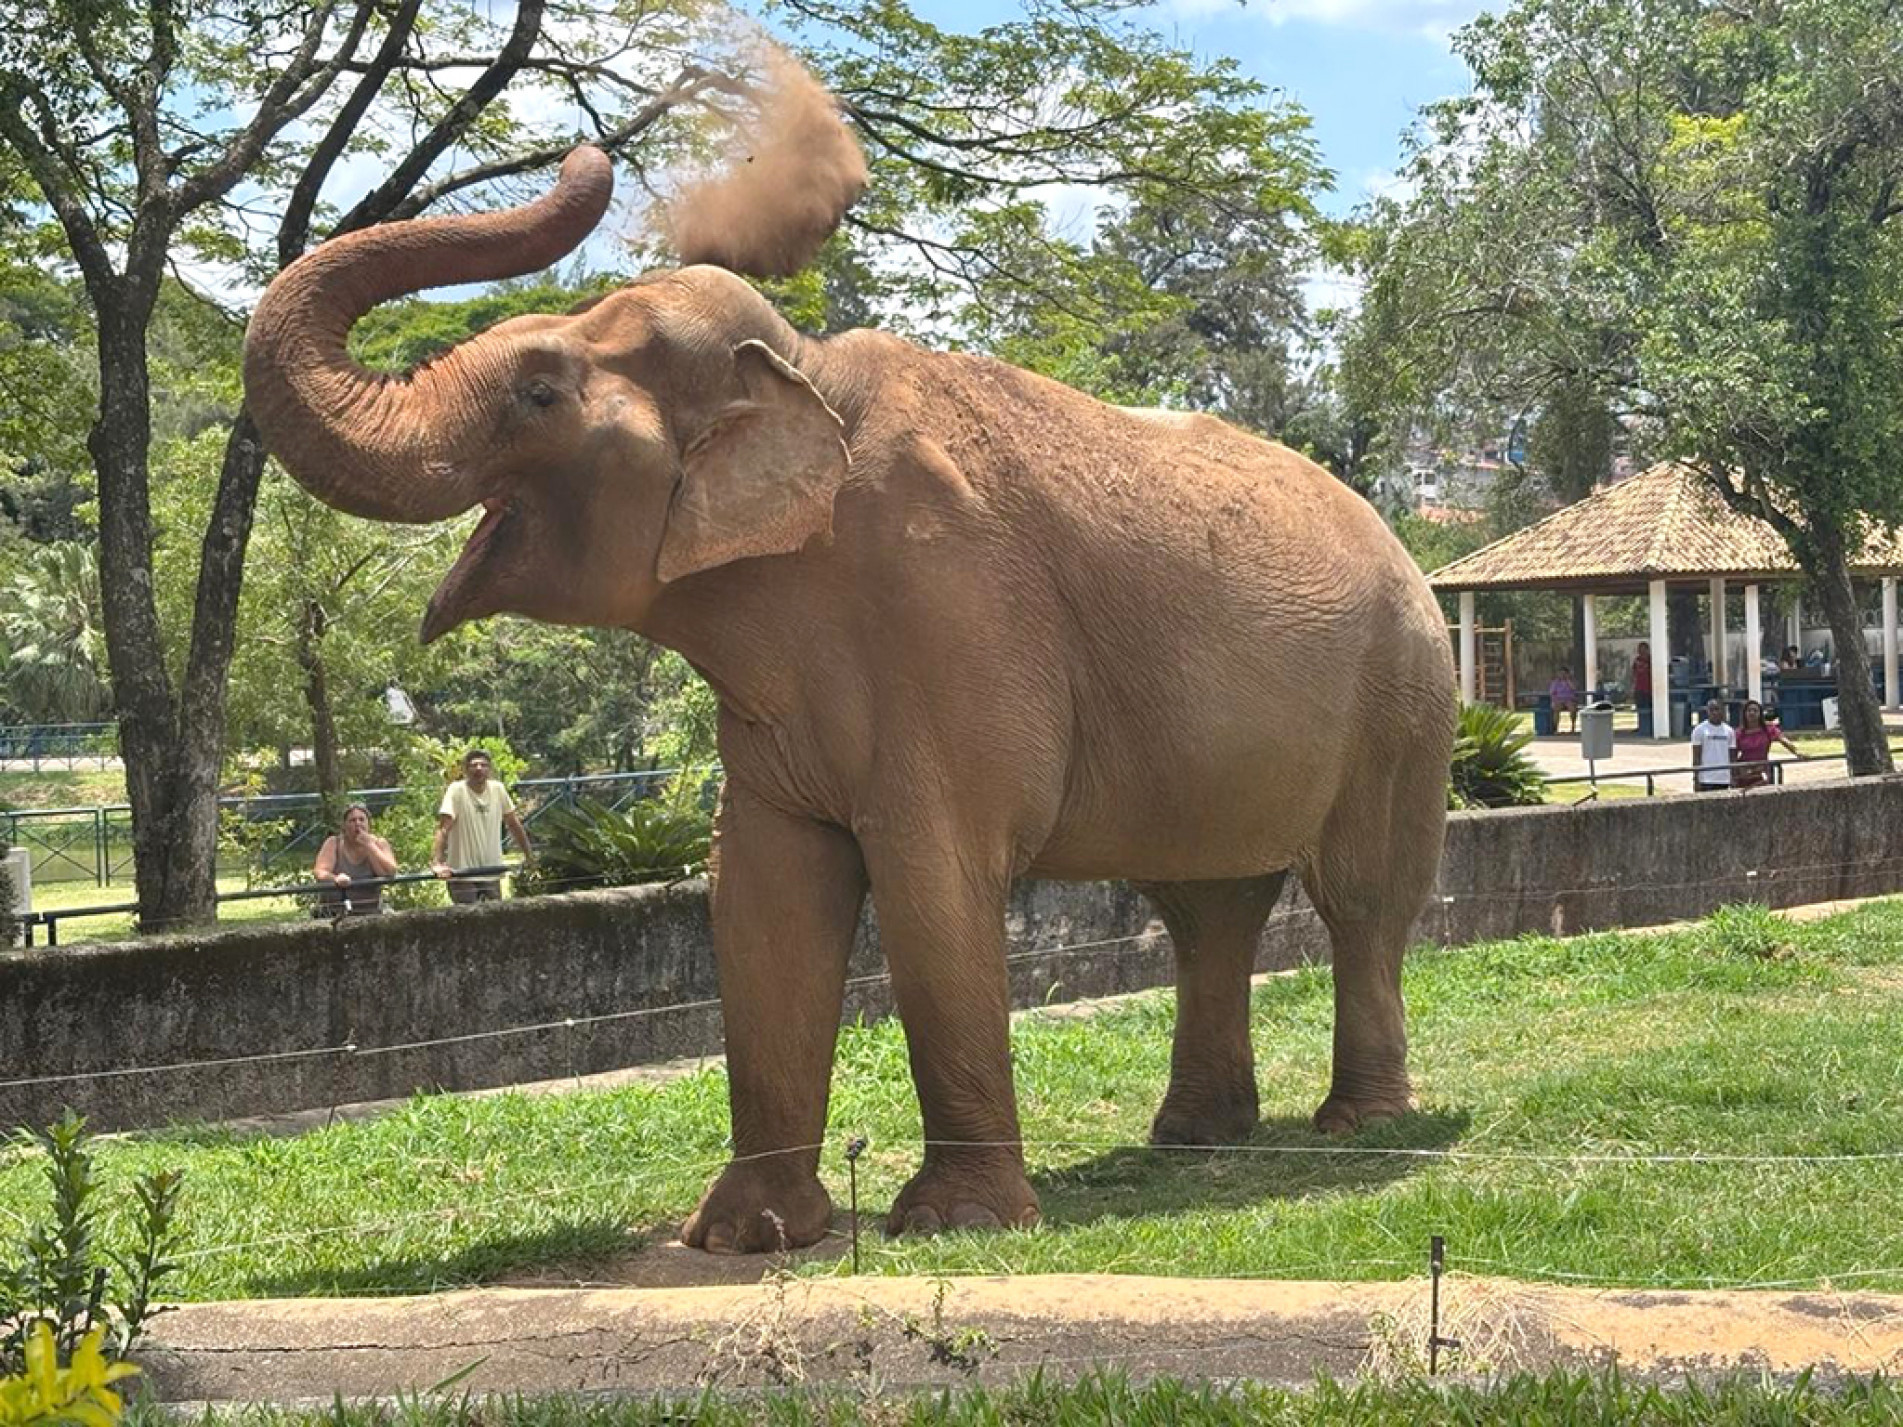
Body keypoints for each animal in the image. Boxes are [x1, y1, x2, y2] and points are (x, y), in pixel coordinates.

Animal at [244, 146, 1456, 1254]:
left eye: (539, 393)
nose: (592, 155)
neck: (802, 371)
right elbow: (762, 897)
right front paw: (744, 1236)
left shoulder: (952, 610)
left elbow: (934, 883)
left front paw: (958, 1225)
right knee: (1209, 905)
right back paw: (1194, 1137)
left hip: (1404, 697)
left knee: (1360, 898)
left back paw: (1357, 1126)